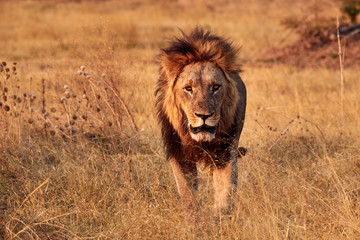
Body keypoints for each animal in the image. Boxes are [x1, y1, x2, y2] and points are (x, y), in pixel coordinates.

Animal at [156, 27, 246, 212]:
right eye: (188, 89)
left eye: (216, 87)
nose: (204, 116)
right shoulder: (179, 154)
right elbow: (187, 193)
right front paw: (194, 218)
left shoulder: (225, 153)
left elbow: (225, 190)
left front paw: (219, 214)